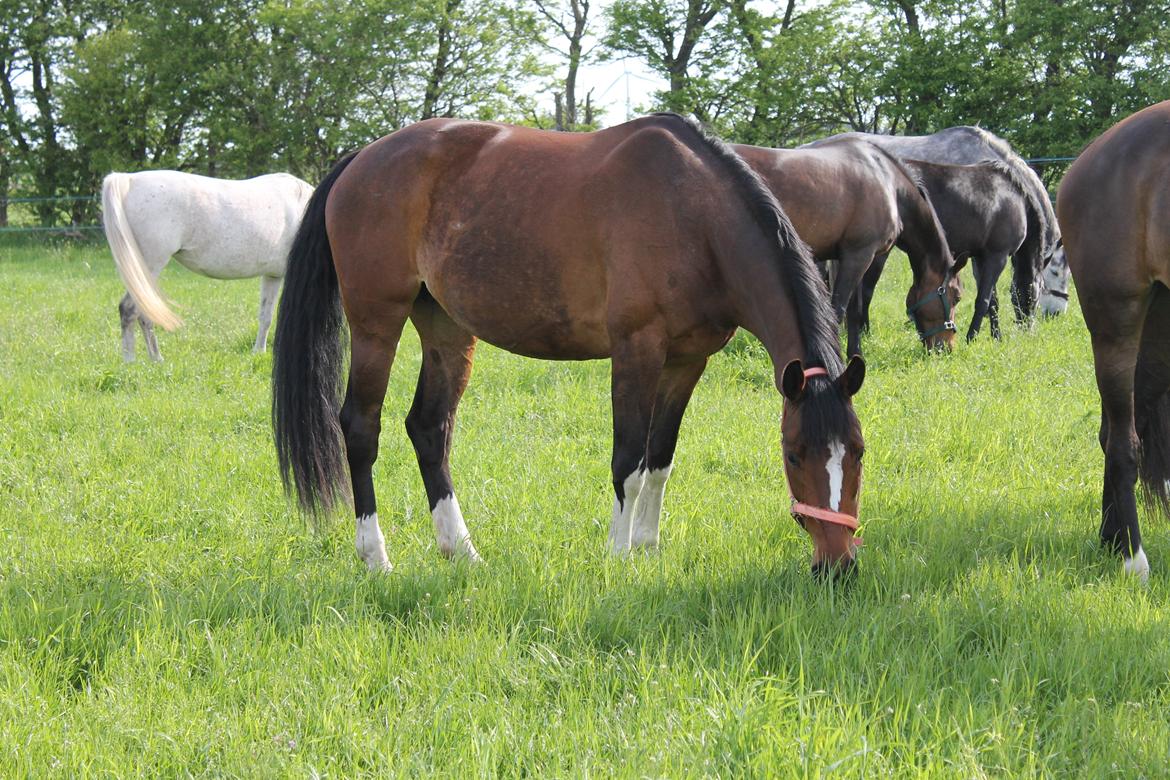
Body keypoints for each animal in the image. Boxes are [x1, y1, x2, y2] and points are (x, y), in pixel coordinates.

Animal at [102, 169, 311, 362]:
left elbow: (265, 316)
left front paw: (258, 352)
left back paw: (155, 360)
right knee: (129, 309)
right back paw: (131, 362)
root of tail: (129, 179)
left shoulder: (272, 275)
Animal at [269, 115, 865, 580]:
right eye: (794, 454)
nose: (838, 566)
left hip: (445, 327)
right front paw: (618, 558)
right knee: (360, 428)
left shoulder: (687, 360)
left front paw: (648, 550)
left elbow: (661, 458)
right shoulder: (636, 350)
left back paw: (461, 551)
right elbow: (628, 458)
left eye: (858, 452)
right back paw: (376, 557)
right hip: (377, 322)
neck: (692, 214)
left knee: (429, 428)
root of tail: (362, 158)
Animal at [734, 140, 964, 357]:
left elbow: (855, 312)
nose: (947, 348)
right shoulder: (858, 256)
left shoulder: (854, 258)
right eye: (957, 297)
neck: (888, 182)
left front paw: (856, 353)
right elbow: (837, 311)